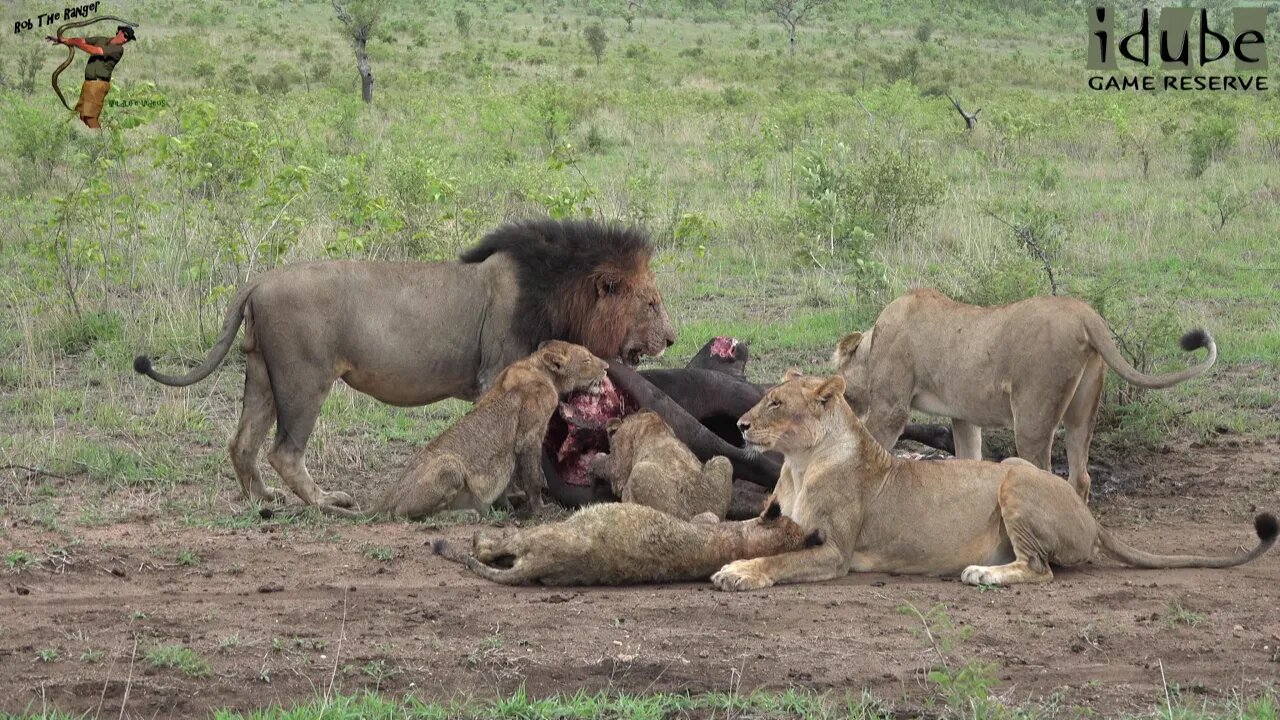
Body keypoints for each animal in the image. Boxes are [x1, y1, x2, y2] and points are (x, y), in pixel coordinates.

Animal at [135, 221, 680, 507]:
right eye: (652, 303)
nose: (673, 338)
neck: (555, 293)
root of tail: (259, 281)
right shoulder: (498, 372)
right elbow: (508, 442)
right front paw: (515, 498)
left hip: (264, 376)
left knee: (242, 443)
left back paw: (262, 501)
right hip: (303, 379)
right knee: (284, 451)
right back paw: (324, 502)